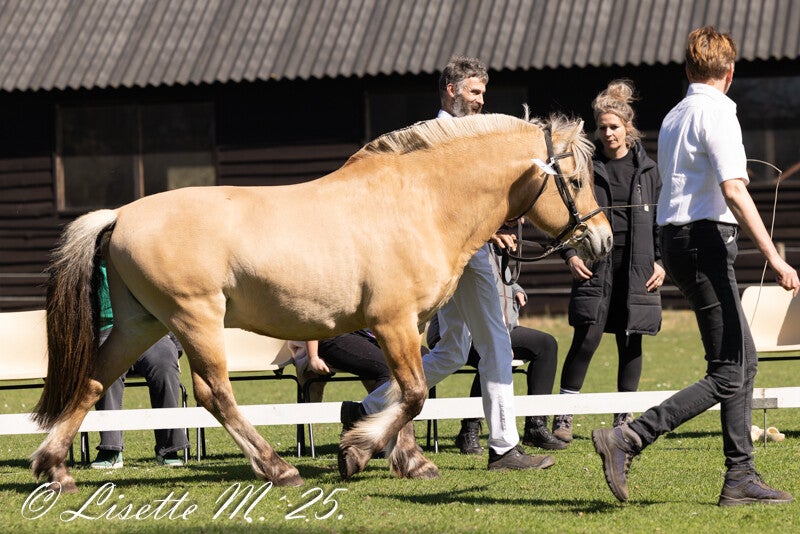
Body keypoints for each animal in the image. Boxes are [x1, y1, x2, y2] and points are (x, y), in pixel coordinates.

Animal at [31, 112, 612, 493]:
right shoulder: (393, 321)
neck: (422, 202)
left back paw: (54, 468)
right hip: (195, 319)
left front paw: (407, 459)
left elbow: (403, 389)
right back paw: (277, 468)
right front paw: (357, 451)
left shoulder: (407, 325)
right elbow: (413, 394)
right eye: (575, 180)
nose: (602, 240)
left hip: (140, 322)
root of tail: (120, 215)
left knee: (92, 380)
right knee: (214, 393)